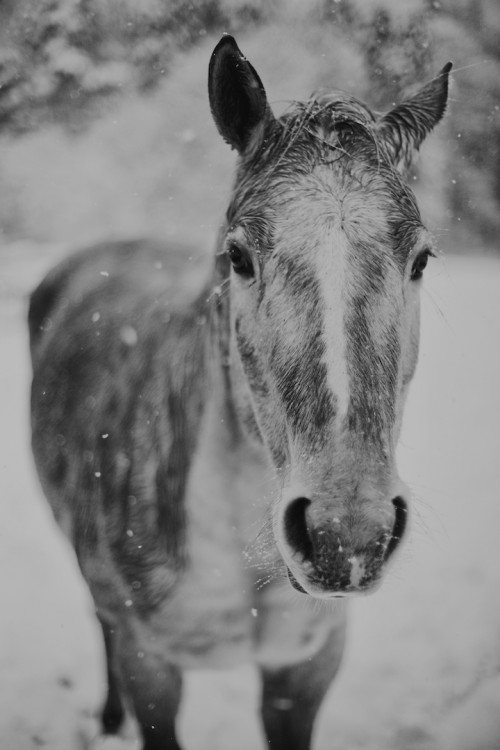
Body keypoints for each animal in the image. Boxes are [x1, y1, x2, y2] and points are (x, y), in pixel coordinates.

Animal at [30, 33, 454, 750]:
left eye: (420, 259)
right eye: (238, 257)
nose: (346, 537)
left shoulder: (304, 672)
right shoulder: (153, 669)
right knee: (101, 622)